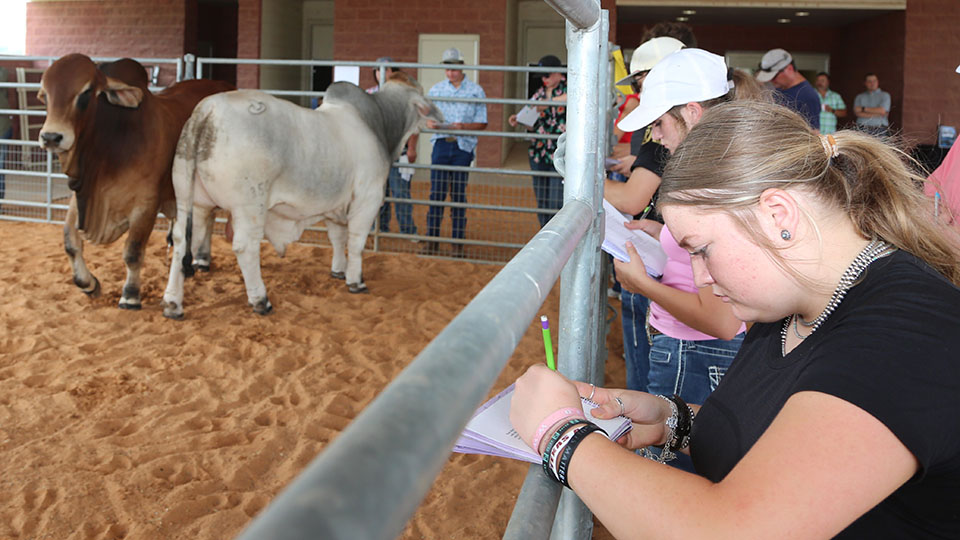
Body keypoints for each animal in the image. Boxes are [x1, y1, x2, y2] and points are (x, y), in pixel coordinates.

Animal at [38, 56, 234, 308]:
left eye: (86, 92)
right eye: (45, 95)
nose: (51, 137)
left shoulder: (146, 205)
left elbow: (132, 252)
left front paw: (130, 295)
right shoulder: (80, 199)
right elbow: (70, 243)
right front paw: (88, 283)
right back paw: (199, 260)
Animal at [162, 78, 442, 318]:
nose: (439, 117)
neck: (378, 123)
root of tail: (207, 111)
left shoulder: (336, 205)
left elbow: (338, 238)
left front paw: (338, 270)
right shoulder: (368, 199)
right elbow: (357, 243)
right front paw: (356, 281)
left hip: (190, 199)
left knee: (181, 240)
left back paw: (173, 303)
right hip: (250, 205)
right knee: (244, 247)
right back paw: (260, 300)